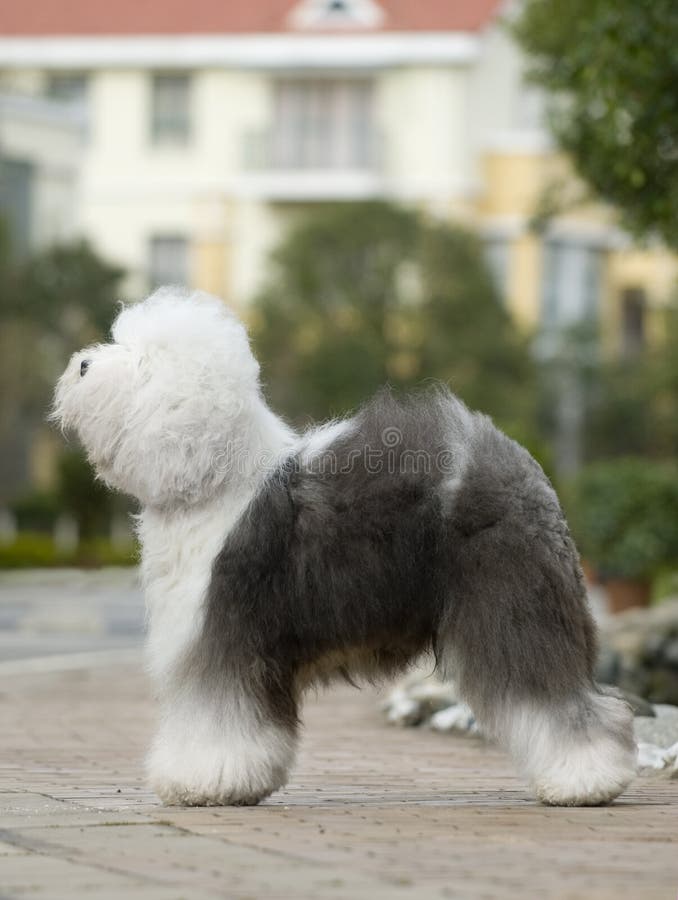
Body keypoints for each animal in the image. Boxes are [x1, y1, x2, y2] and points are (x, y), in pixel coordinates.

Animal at [51, 290, 636, 808]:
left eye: (144, 362)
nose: (81, 363)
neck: (212, 480)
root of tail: (520, 467)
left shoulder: (223, 638)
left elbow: (216, 719)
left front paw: (204, 782)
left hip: (513, 610)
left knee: (560, 699)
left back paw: (584, 781)